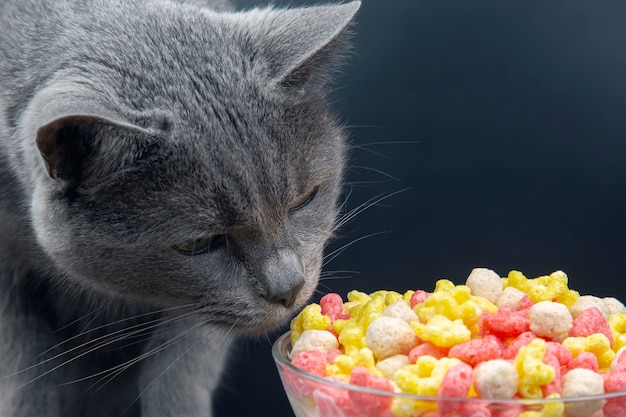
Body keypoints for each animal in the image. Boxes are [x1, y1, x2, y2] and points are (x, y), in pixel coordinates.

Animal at [0, 0, 358, 412]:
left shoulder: (198, 312)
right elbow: (24, 376)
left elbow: (179, 369)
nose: (288, 288)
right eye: (197, 244)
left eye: (303, 200)